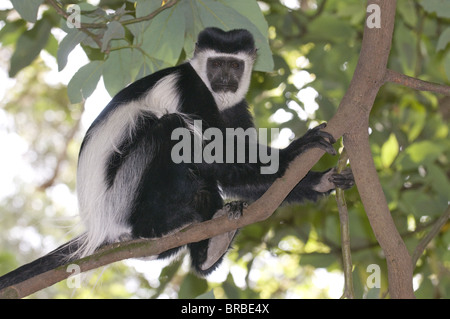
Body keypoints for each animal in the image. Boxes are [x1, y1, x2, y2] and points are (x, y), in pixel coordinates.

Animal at [0, 28, 352, 290]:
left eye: (235, 65)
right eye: (217, 64)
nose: (226, 79)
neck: (215, 94)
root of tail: (100, 224)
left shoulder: (237, 108)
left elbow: (235, 174)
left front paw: (322, 181)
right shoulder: (190, 90)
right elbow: (212, 153)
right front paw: (298, 148)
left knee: (203, 184)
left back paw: (209, 246)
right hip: (123, 195)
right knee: (167, 129)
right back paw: (157, 226)